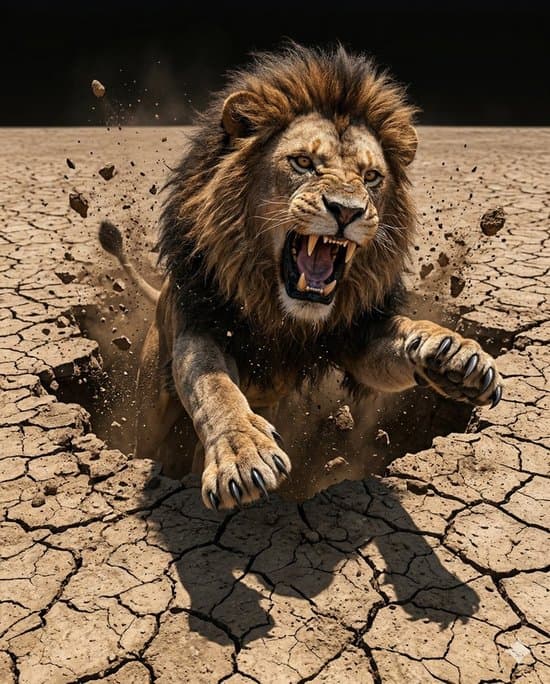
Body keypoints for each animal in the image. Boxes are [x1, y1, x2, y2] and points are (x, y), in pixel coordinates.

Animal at [99, 44, 503, 510]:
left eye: (371, 177)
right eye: (303, 163)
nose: (347, 211)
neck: (281, 311)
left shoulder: (357, 335)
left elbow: (404, 335)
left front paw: (454, 354)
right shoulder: (199, 325)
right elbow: (214, 388)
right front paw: (242, 453)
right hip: (151, 410)